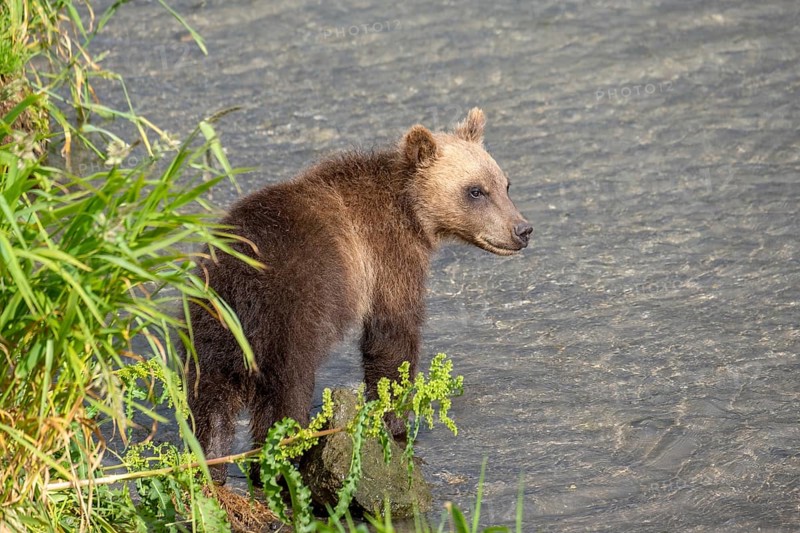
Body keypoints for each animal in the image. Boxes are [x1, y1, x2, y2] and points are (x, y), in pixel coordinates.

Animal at [184, 108, 532, 485]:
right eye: (475, 191)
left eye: (504, 184)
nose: (522, 229)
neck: (410, 209)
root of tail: (239, 285)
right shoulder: (387, 257)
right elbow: (392, 337)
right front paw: (393, 418)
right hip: (288, 322)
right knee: (286, 398)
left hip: (209, 332)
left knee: (210, 405)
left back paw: (211, 465)